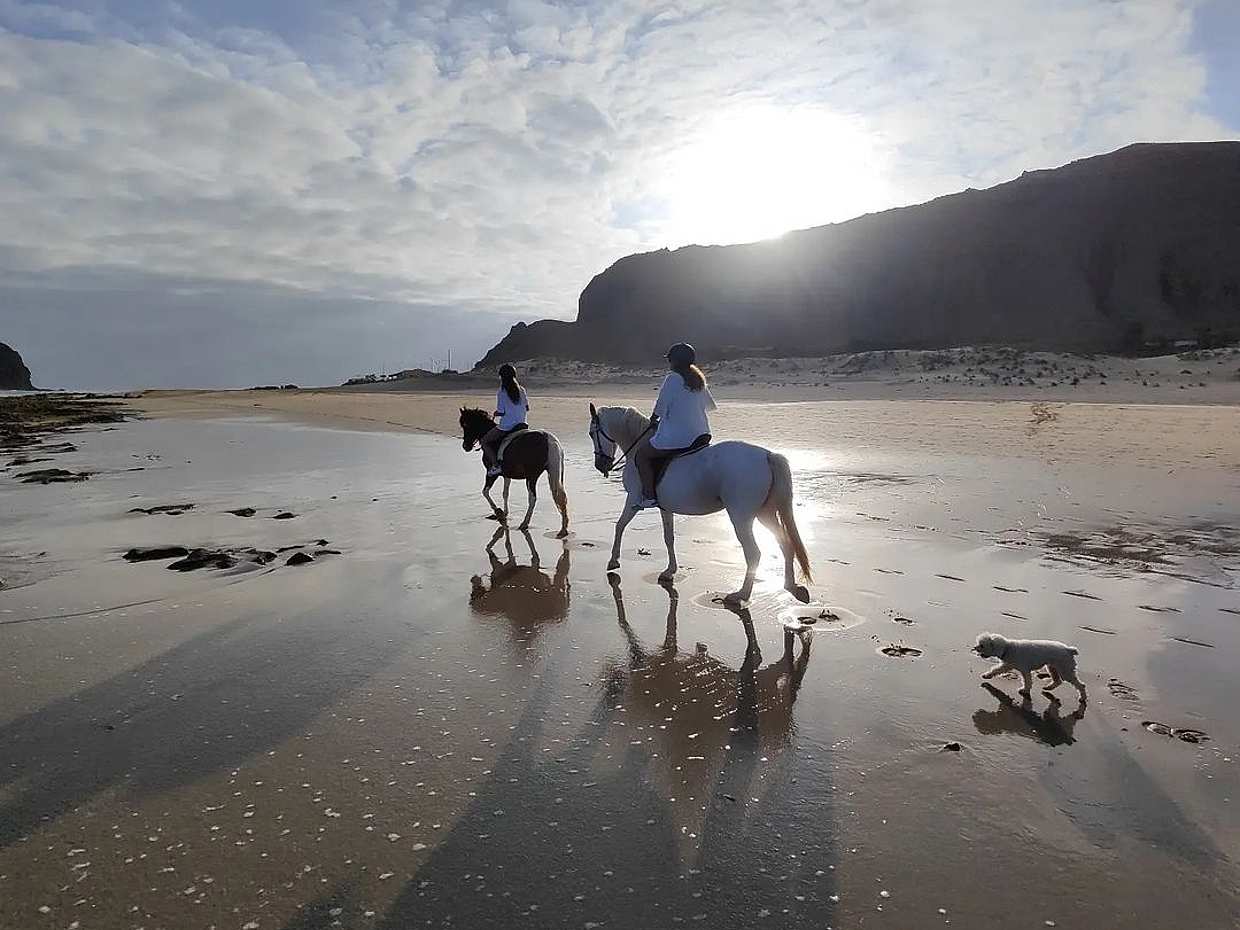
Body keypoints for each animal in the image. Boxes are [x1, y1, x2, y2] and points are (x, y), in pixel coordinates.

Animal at [459, 407, 569, 537]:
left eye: (466, 425)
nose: (465, 446)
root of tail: (548, 439)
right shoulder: (507, 475)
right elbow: (505, 493)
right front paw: (505, 513)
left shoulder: (491, 474)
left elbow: (485, 492)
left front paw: (499, 512)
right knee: (561, 497)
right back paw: (563, 529)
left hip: (531, 477)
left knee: (532, 498)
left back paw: (525, 523)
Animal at [588, 403, 811, 605]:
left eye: (591, 433)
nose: (601, 466)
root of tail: (767, 455)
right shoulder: (665, 508)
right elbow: (668, 537)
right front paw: (670, 571)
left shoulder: (633, 500)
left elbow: (619, 526)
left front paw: (613, 561)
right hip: (764, 513)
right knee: (784, 543)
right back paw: (791, 586)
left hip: (741, 517)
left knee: (754, 553)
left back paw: (741, 595)